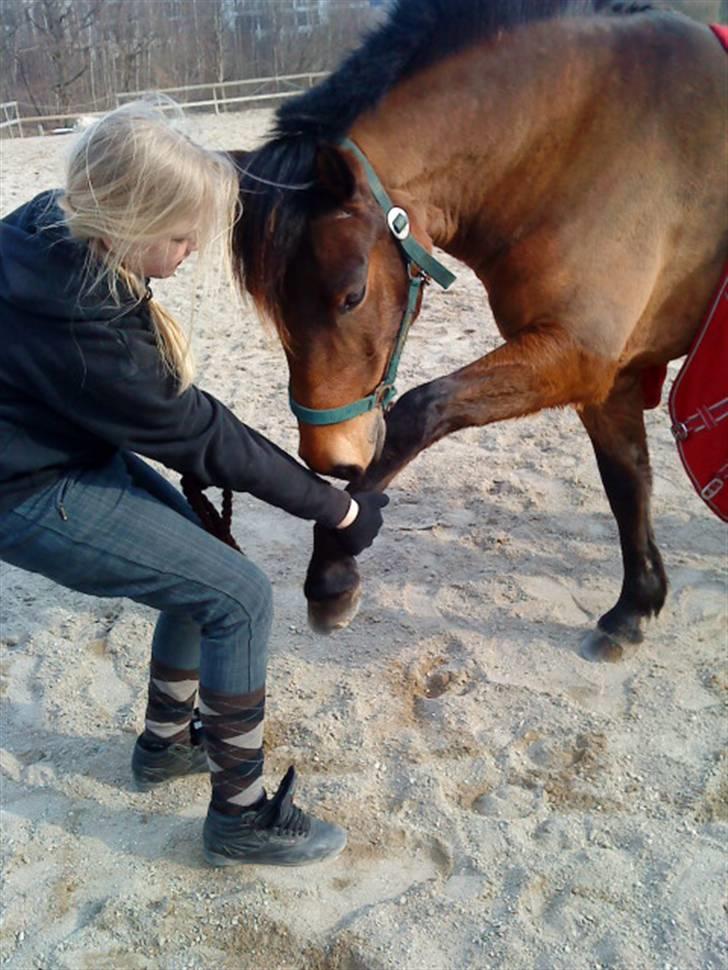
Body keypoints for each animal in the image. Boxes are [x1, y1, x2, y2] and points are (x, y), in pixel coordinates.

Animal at [231, 0, 728, 662]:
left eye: (352, 295)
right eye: (273, 308)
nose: (326, 456)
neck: (582, 140)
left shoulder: (578, 353)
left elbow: (417, 414)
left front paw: (333, 572)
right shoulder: (607, 372)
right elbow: (627, 481)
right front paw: (634, 608)